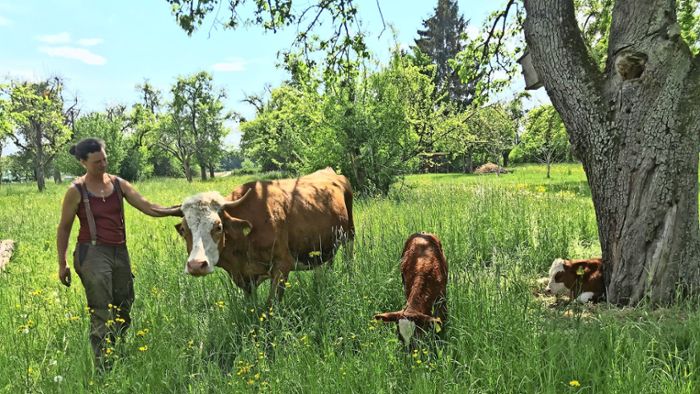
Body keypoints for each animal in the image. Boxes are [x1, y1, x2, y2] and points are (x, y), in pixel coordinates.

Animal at [161, 169, 352, 302]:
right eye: (184, 230)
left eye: (218, 226)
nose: (196, 265)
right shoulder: (244, 278)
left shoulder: (282, 265)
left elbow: (271, 306)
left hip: (349, 235)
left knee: (348, 259)